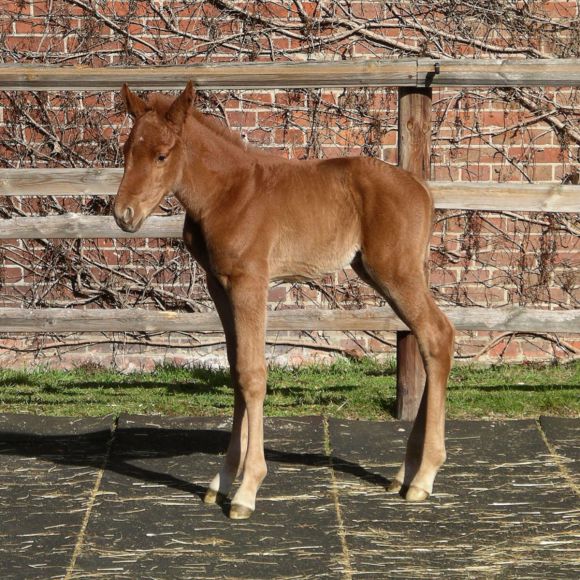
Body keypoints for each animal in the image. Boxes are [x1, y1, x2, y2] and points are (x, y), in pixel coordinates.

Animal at [113, 82, 456, 520]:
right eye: (127, 151)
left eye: (161, 155)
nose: (123, 214)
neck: (228, 192)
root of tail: (422, 189)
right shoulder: (219, 286)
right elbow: (236, 372)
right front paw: (221, 481)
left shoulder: (250, 283)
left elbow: (253, 374)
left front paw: (247, 489)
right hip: (380, 273)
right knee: (432, 338)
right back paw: (405, 473)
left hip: (396, 271)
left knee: (436, 335)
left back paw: (424, 476)